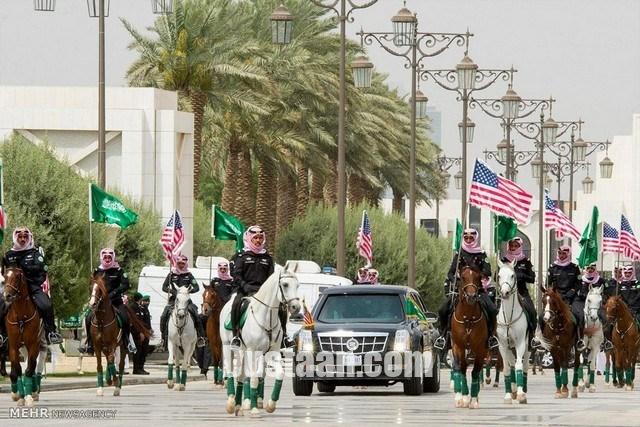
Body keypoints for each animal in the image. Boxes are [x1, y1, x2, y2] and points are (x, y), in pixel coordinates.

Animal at [3, 270, 42, 406]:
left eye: (16, 278)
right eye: (5, 277)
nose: (7, 295)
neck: (21, 315)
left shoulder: (33, 344)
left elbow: (29, 369)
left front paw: (29, 397)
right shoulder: (13, 346)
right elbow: (18, 370)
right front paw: (19, 396)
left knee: (33, 366)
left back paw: (34, 391)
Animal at [220, 268, 300, 418]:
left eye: (297, 285)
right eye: (285, 284)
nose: (296, 307)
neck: (266, 318)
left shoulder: (273, 352)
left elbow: (278, 374)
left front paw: (270, 405)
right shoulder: (252, 351)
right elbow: (254, 378)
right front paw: (254, 409)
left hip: (245, 352)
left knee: (241, 375)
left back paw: (238, 406)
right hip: (229, 347)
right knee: (231, 371)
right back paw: (231, 404)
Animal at [450, 268, 490, 412]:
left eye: (478, 277)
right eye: (462, 277)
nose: (472, 296)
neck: (467, 318)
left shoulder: (480, 348)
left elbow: (475, 372)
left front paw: (473, 400)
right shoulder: (458, 346)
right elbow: (460, 368)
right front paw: (462, 398)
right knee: (460, 367)